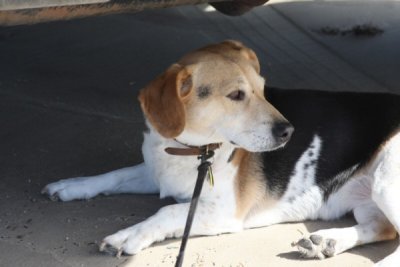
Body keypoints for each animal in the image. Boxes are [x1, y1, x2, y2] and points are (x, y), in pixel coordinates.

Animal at [42, 40, 400, 266]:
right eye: (237, 95)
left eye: (262, 89)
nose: (289, 131)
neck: (191, 151)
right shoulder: (155, 173)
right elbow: (114, 176)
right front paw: (73, 185)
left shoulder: (225, 211)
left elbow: (167, 212)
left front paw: (127, 236)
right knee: (383, 228)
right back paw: (325, 242)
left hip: (386, 179)